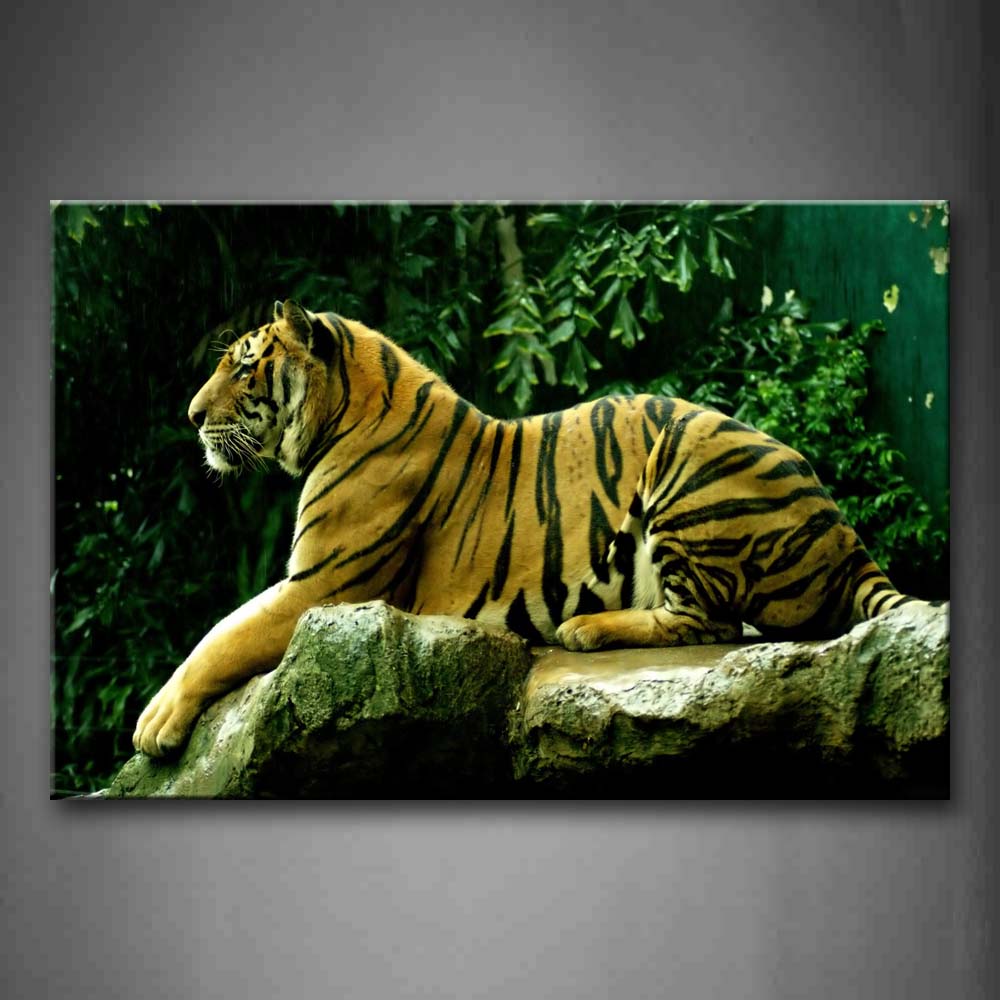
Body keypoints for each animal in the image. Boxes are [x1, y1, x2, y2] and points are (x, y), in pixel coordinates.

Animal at [133, 298, 925, 757]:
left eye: (245, 369)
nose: (191, 416)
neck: (342, 412)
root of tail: (843, 530)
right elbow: (222, 630)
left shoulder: (323, 587)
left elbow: (221, 636)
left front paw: (154, 723)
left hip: (687, 458)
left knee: (712, 624)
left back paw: (586, 630)